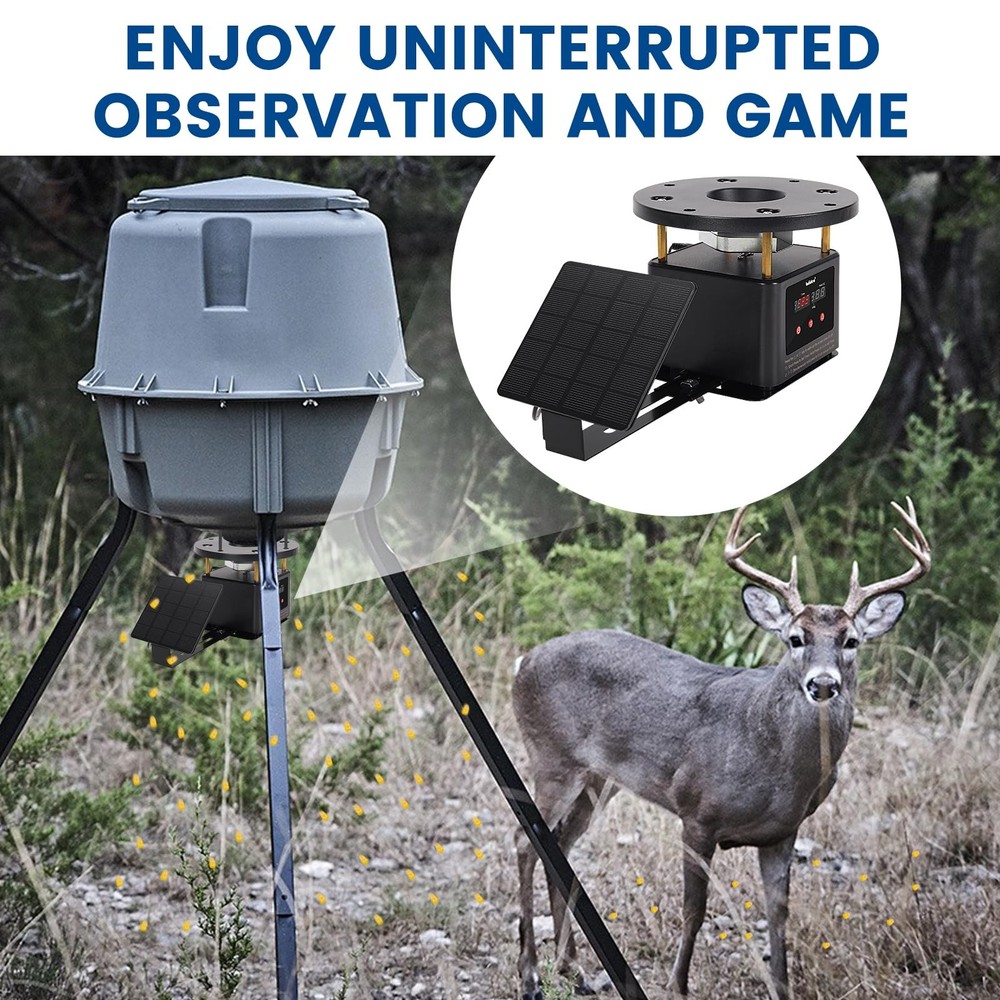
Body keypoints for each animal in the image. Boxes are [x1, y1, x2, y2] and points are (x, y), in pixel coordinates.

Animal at [512, 499, 931, 1000]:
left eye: (851, 641)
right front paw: (677, 986)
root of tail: (524, 660)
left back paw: (572, 968)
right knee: (524, 841)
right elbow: (694, 909)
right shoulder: (697, 813)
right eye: (795, 638)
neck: (775, 765)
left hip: (599, 778)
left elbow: (778, 915)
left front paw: (781, 988)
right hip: (551, 757)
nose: (823, 684)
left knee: (559, 843)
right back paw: (531, 973)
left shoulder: (783, 831)